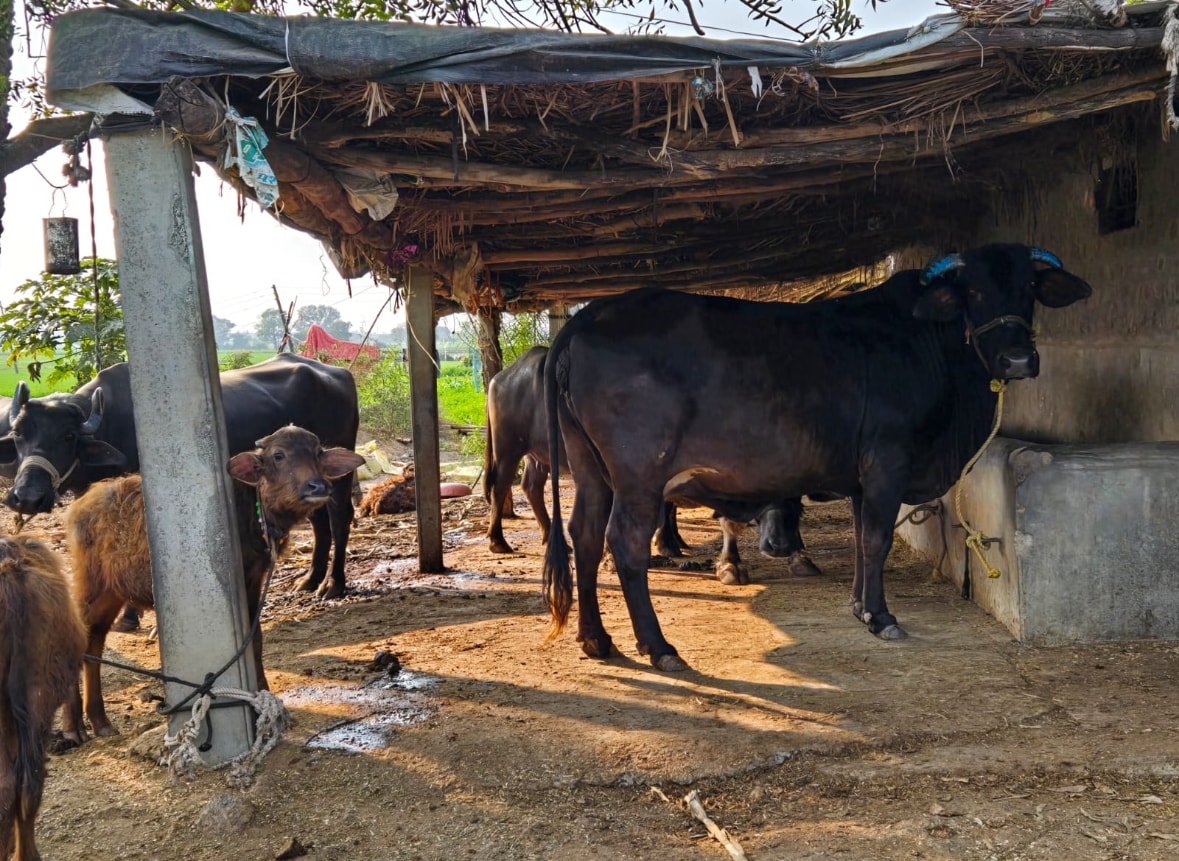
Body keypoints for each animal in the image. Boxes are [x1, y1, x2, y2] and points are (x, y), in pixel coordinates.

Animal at [0, 354, 362, 599]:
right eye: (18, 434)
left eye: (68, 436)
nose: (27, 496)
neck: (111, 423)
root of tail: (338, 372)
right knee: (320, 523)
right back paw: (311, 579)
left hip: (337, 472)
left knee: (340, 517)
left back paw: (333, 584)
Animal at [60, 425, 365, 742]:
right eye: (278, 455)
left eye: (317, 452)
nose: (317, 487)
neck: (251, 512)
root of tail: (80, 505)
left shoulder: (254, 579)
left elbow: (254, 639)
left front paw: (262, 695)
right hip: (90, 584)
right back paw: (73, 727)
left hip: (111, 593)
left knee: (94, 641)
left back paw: (99, 720)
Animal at [483, 346, 821, 580]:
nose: (779, 544)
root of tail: (501, 377)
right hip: (509, 446)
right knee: (501, 485)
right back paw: (498, 541)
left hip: (537, 454)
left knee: (531, 486)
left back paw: (549, 536)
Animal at [541, 244, 1093, 670]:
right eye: (972, 292)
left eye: (1029, 288)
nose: (1018, 359)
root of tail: (587, 315)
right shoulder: (888, 463)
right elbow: (876, 540)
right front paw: (881, 617)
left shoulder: (860, 477)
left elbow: (861, 540)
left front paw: (858, 606)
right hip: (639, 475)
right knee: (624, 543)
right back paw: (659, 647)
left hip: (591, 470)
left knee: (584, 536)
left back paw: (596, 640)